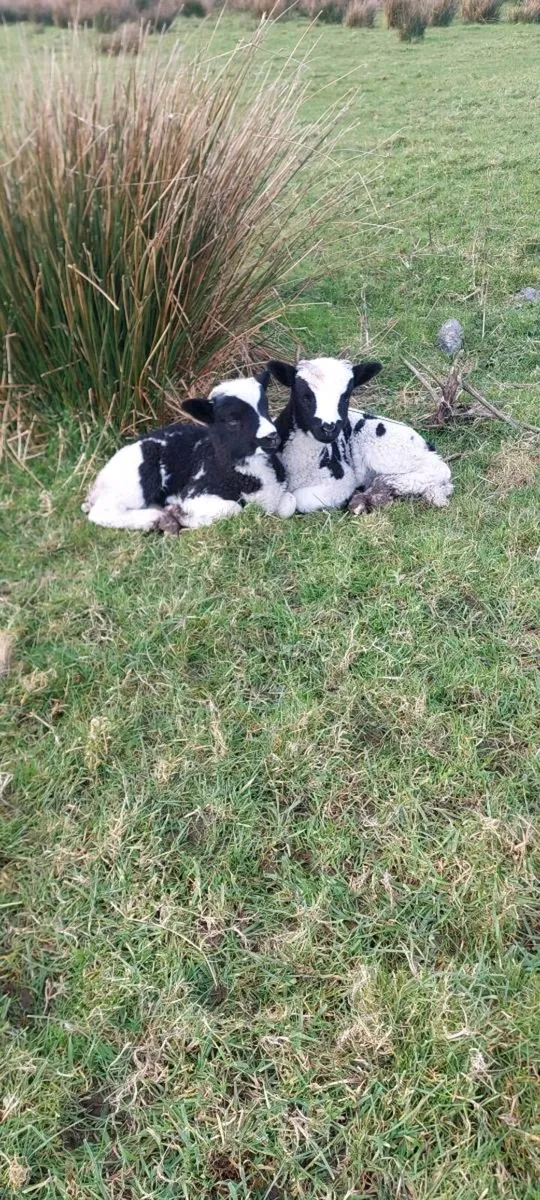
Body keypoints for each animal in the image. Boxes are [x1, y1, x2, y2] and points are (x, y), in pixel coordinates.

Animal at [82, 373, 296, 533]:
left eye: (265, 408)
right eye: (232, 420)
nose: (272, 436)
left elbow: (289, 503)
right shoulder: (195, 493)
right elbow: (234, 508)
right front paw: (184, 516)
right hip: (136, 478)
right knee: (102, 512)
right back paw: (153, 519)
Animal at [267, 357, 453, 513]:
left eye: (345, 398)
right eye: (305, 397)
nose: (329, 428)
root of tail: (423, 443)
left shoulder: (343, 480)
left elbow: (299, 499)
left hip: (387, 449)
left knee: (439, 469)